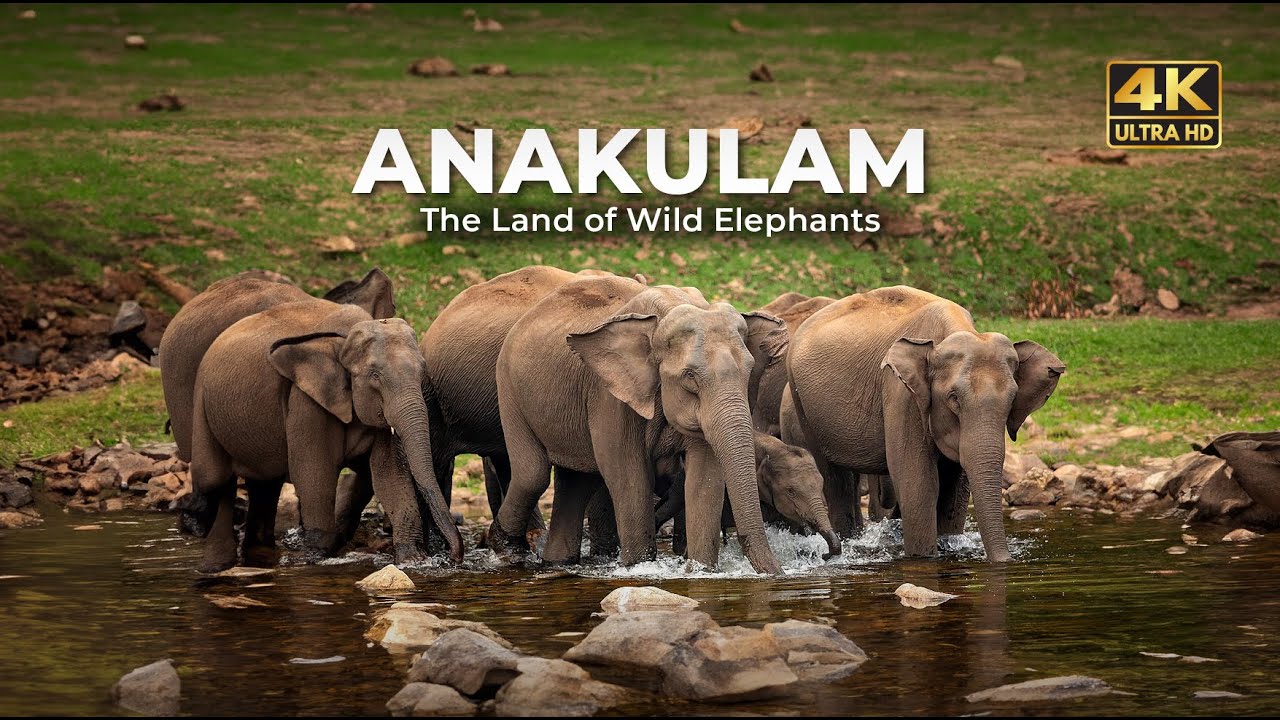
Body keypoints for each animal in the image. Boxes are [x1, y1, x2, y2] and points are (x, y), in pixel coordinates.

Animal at [184, 299, 460, 572]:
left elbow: (389, 473)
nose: (453, 556)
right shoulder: (305, 400)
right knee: (215, 480)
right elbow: (314, 472)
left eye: (423, 371)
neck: (345, 337)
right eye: (375, 376)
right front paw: (317, 556)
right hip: (200, 402)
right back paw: (209, 555)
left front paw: (413, 561)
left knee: (264, 486)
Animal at [488, 274, 788, 574]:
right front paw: (638, 567)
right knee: (533, 474)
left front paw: (701, 571)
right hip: (508, 388)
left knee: (575, 482)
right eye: (689, 376)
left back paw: (556, 562)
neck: (669, 309)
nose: (779, 573)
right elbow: (626, 469)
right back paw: (506, 550)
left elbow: (705, 474)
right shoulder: (609, 394)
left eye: (749, 372)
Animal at [782, 286, 1064, 562]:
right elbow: (918, 484)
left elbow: (955, 488)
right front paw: (922, 557)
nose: (1007, 561)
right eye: (953, 398)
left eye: (1012, 399)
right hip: (802, 405)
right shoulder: (900, 391)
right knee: (834, 478)